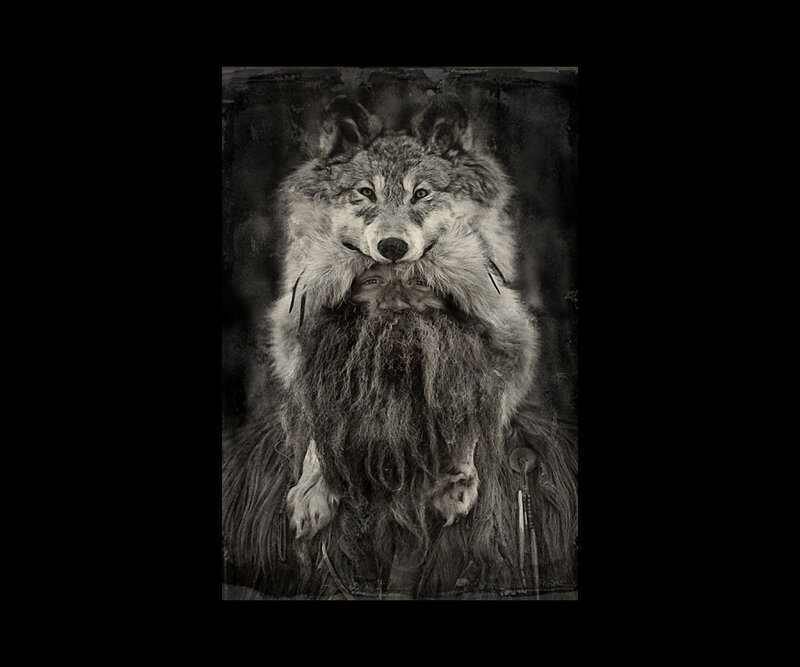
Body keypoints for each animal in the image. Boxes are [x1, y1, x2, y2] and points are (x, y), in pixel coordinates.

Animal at [222, 94, 578, 599]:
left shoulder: (509, 344)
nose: (392, 246)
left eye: (421, 194)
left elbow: (471, 415)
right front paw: (313, 491)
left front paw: (455, 479)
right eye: (365, 193)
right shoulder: (298, 344)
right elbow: (316, 431)